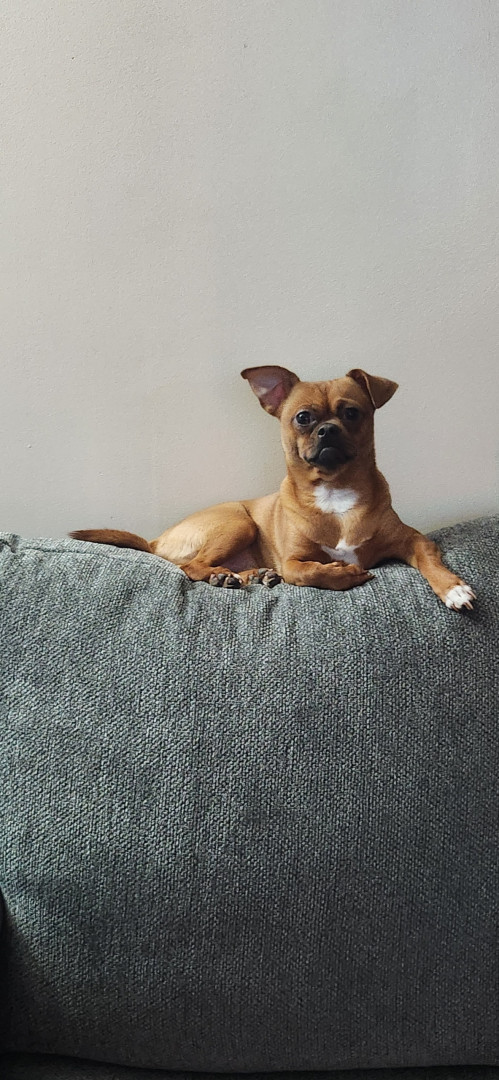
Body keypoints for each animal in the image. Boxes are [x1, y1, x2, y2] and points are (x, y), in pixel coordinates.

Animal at [71, 366, 475, 610]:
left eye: (351, 413)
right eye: (303, 418)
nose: (327, 430)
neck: (334, 491)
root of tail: (155, 541)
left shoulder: (414, 541)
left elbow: (430, 561)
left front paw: (453, 588)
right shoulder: (294, 560)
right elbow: (309, 572)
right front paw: (343, 574)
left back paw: (246, 575)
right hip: (237, 522)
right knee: (192, 565)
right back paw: (224, 576)